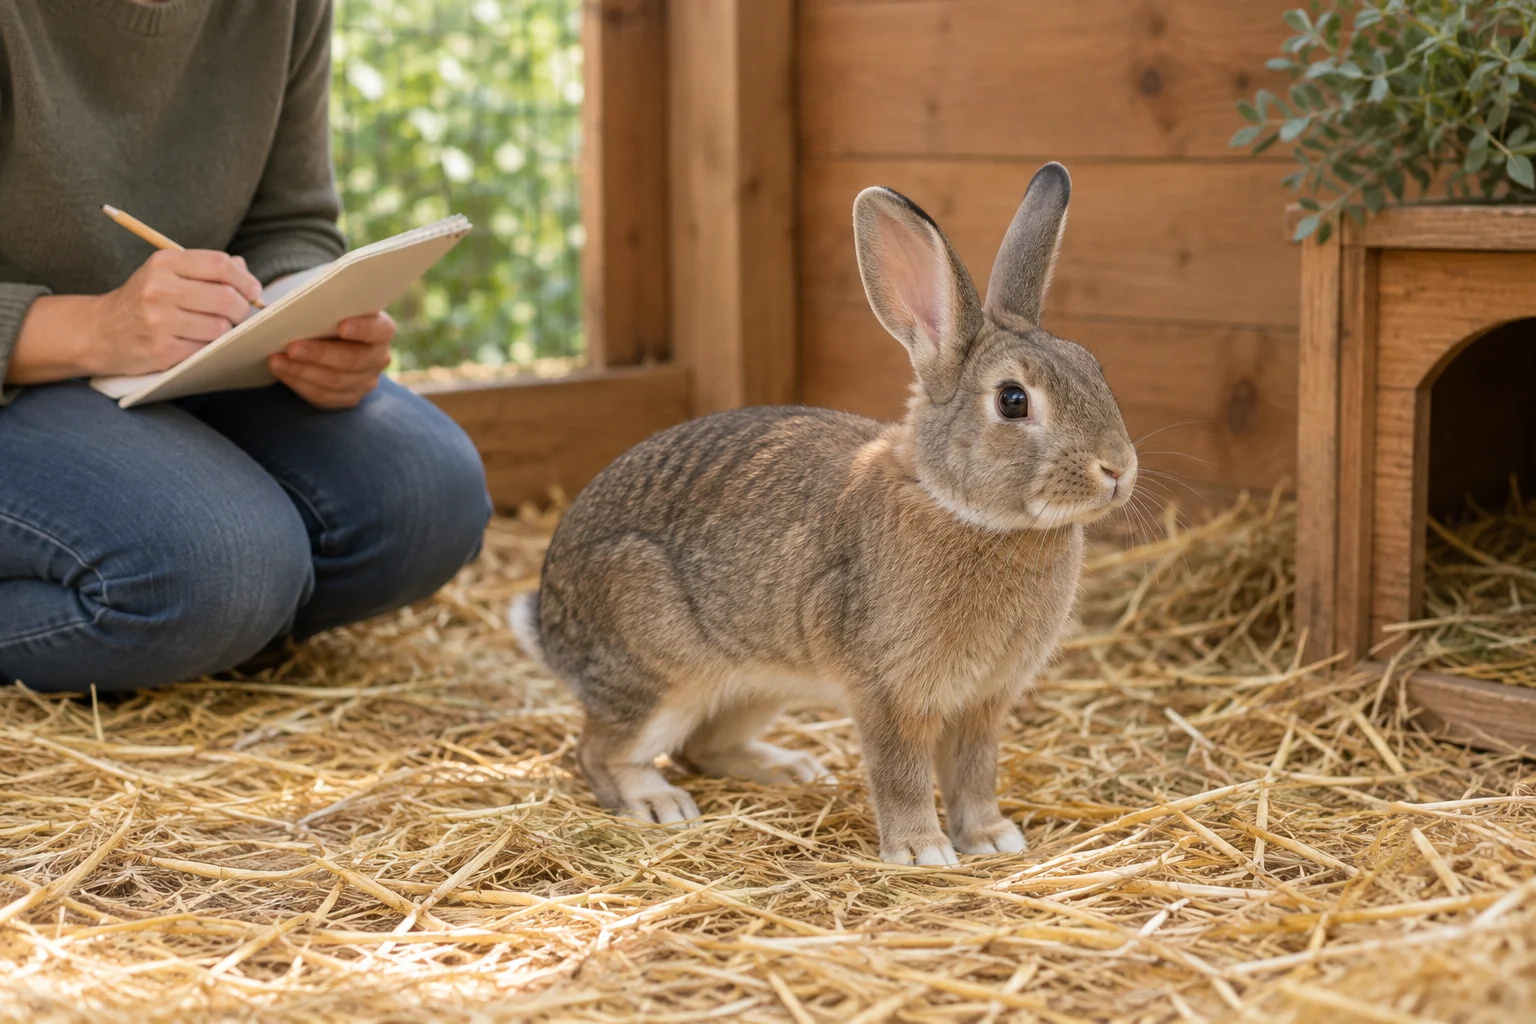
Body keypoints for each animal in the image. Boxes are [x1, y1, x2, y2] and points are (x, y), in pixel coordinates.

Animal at [510, 162, 1137, 865]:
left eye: (1094, 368)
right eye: (1012, 400)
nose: (1117, 469)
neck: (961, 508)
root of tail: (550, 624)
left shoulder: (982, 703)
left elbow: (974, 772)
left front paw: (990, 839)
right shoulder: (889, 692)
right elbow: (901, 773)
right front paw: (921, 852)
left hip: (759, 686)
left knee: (701, 746)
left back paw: (790, 768)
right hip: (659, 671)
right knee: (599, 750)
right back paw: (658, 803)